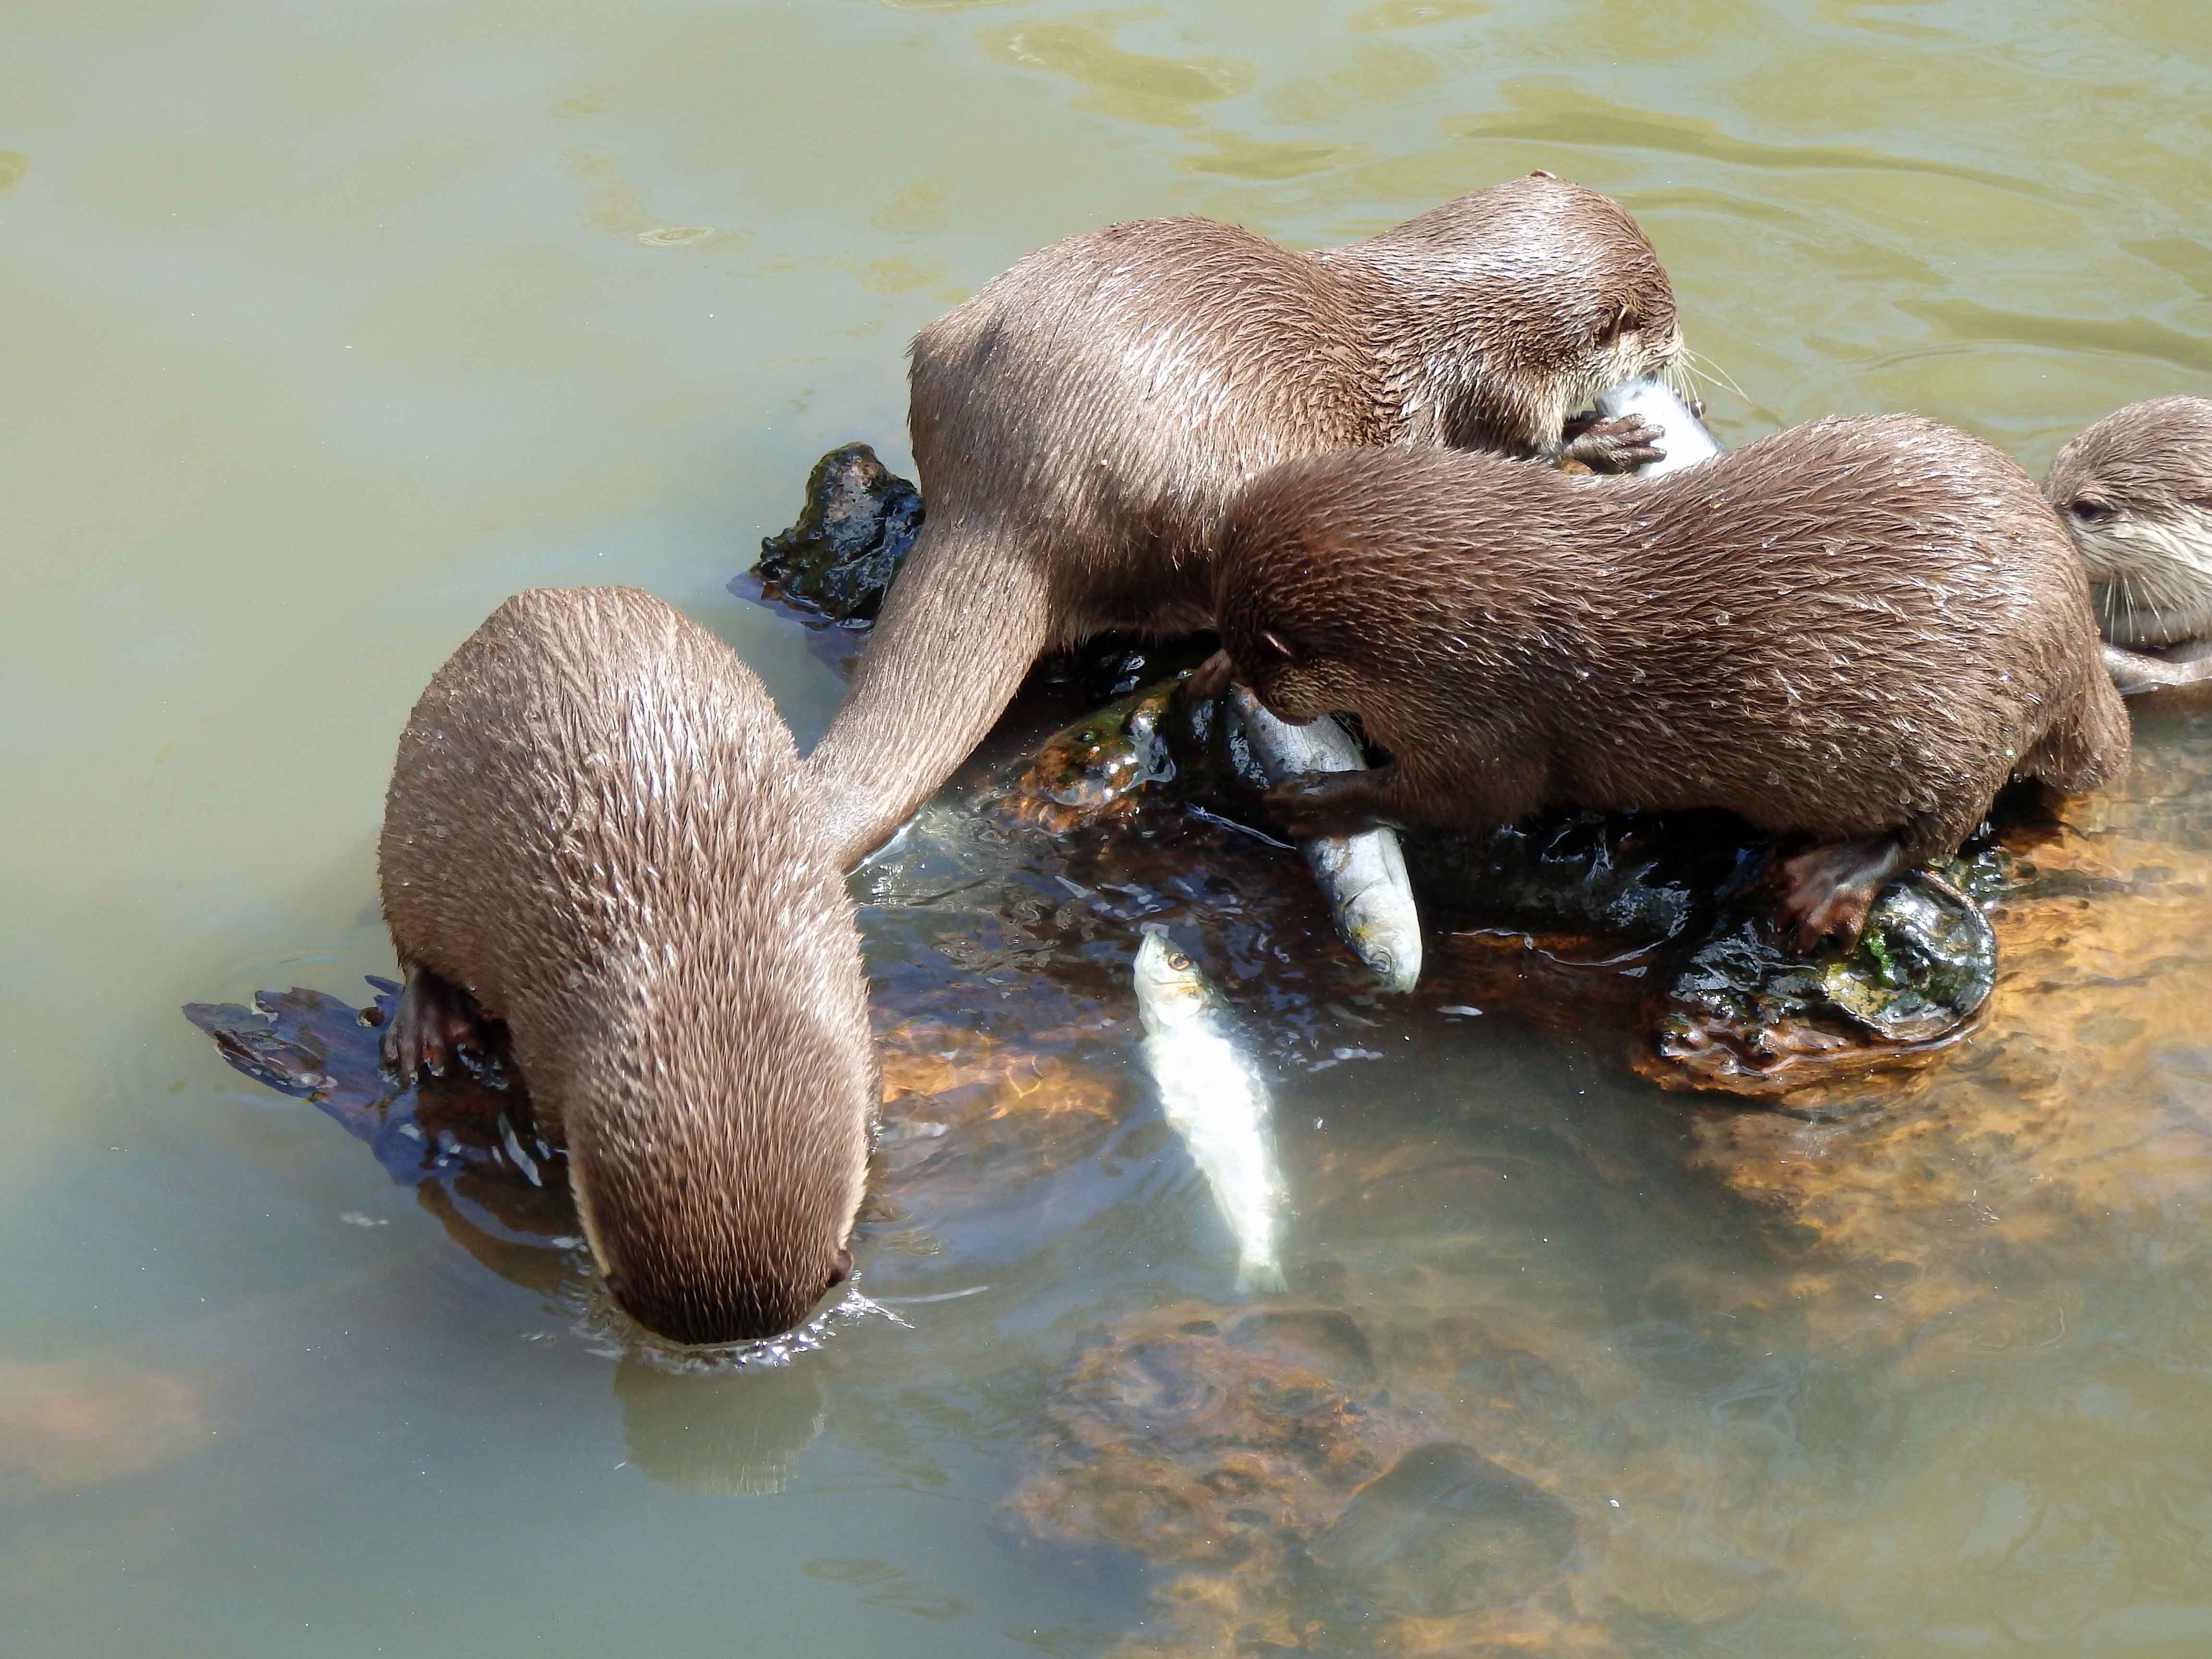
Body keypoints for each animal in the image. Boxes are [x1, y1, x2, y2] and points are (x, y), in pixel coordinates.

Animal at [805, 172, 1681, 871]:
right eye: (1666, 323)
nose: (1680, 354)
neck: (1451, 335)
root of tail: (1004, 498)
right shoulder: (1490, 402)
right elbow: (1524, 457)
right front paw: (1611, 439)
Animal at [1203, 422, 2132, 955]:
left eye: (1264, 662)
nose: (1242, 682)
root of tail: (2080, 651)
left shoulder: (1488, 719)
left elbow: (1464, 798)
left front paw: (1317, 800)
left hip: (1976, 721)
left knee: (1942, 827)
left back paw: (1828, 879)